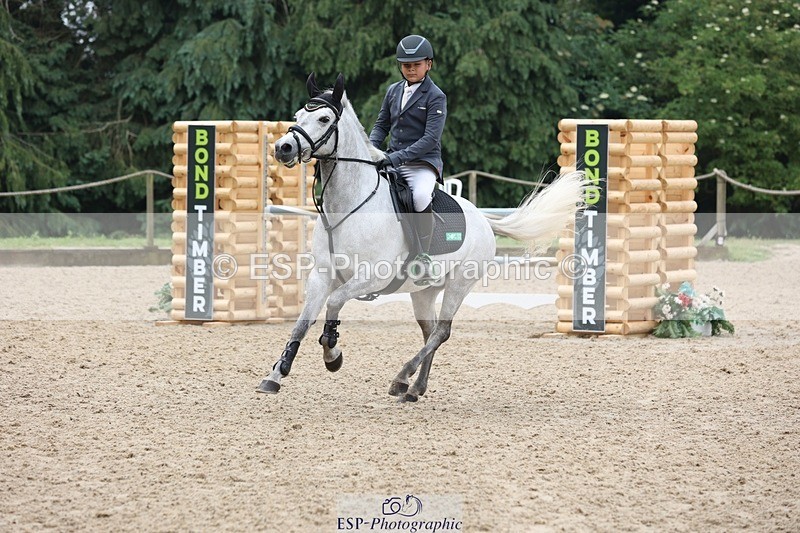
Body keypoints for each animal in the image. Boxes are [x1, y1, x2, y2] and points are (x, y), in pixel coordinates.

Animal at [256, 73, 586, 402]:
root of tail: (482, 218)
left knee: (441, 332)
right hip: (424, 292)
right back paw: (414, 387)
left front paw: (332, 355)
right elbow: (301, 323)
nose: (283, 148)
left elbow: (335, 303)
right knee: (430, 332)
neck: (348, 206)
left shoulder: (371, 276)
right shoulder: (322, 275)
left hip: (459, 284)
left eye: (324, 118)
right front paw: (275, 375)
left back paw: (402, 377)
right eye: (298, 115)